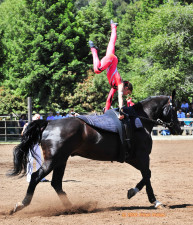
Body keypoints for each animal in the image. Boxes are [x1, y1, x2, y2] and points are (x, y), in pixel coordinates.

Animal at [9, 92, 182, 213]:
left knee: (56, 183)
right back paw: (22, 204)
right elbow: (147, 175)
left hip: (61, 160)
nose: (179, 129)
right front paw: (154, 201)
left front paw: (132, 192)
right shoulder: (142, 156)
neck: (139, 120)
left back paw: (72, 207)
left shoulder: (132, 158)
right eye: (174, 109)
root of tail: (48, 123)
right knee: (36, 177)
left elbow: (147, 175)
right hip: (52, 161)